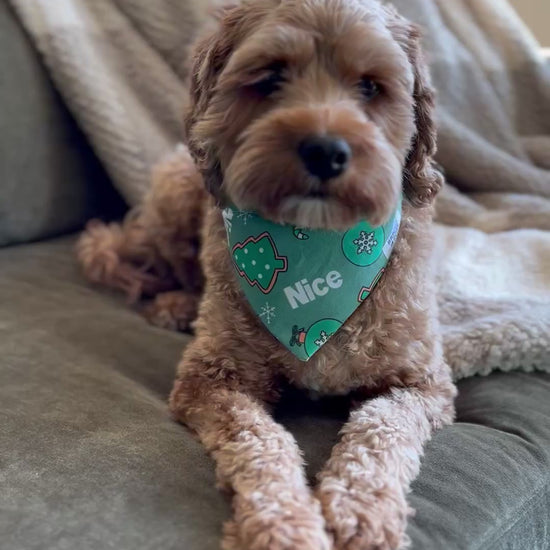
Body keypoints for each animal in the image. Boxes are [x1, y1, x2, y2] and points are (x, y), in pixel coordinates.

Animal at [77, 2, 458, 548]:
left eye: (370, 85)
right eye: (271, 76)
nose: (325, 150)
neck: (313, 255)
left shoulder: (421, 383)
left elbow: (381, 432)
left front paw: (364, 512)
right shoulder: (211, 379)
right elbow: (259, 442)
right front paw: (284, 523)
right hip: (176, 190)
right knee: (160, 264)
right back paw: (174, 304)